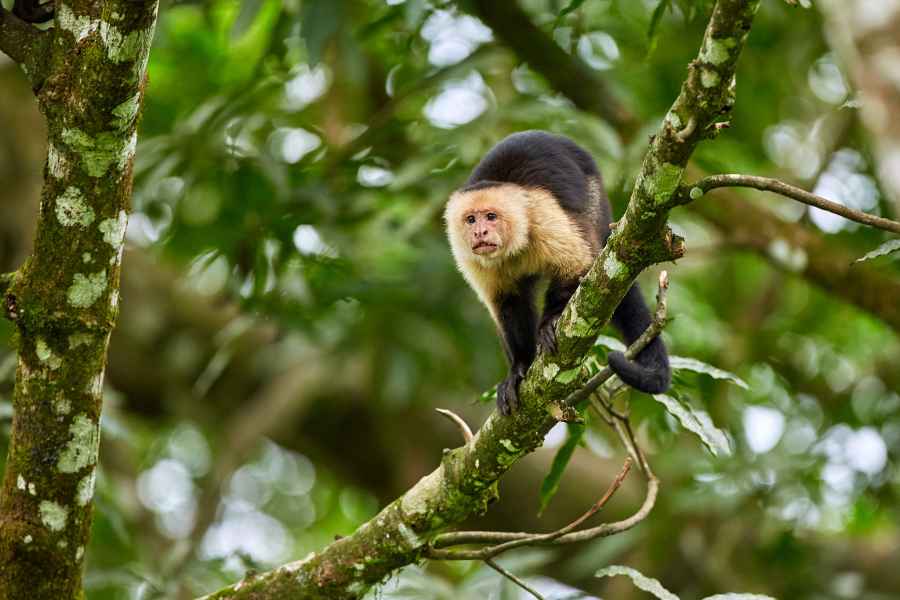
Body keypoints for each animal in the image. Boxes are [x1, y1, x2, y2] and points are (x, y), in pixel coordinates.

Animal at [445, 131, 670, 415]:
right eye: (471, 219)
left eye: (491, 217)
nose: (480, 232)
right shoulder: (469, 257)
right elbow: (507, 303)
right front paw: (518, 368)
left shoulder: (541, 214)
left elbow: (580, 265)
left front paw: (549, 322)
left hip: (595, 197)